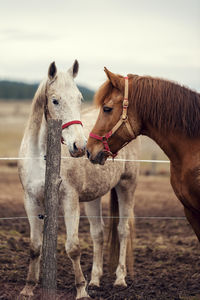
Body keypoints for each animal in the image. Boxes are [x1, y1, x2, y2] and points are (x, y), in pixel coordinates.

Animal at [18, 60, 141, 298]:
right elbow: (35, 247)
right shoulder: (31, 200)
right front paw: (28, 287)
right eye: (55, 100)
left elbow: (73, 247)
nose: (80, 147)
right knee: (98, 234)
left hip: (127, 185)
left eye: (79, 98)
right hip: (94, 197)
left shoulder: (69, 200)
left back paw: (120, 279)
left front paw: (81, 291)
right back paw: (95, 280)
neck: (41, 155)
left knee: (122, 230)